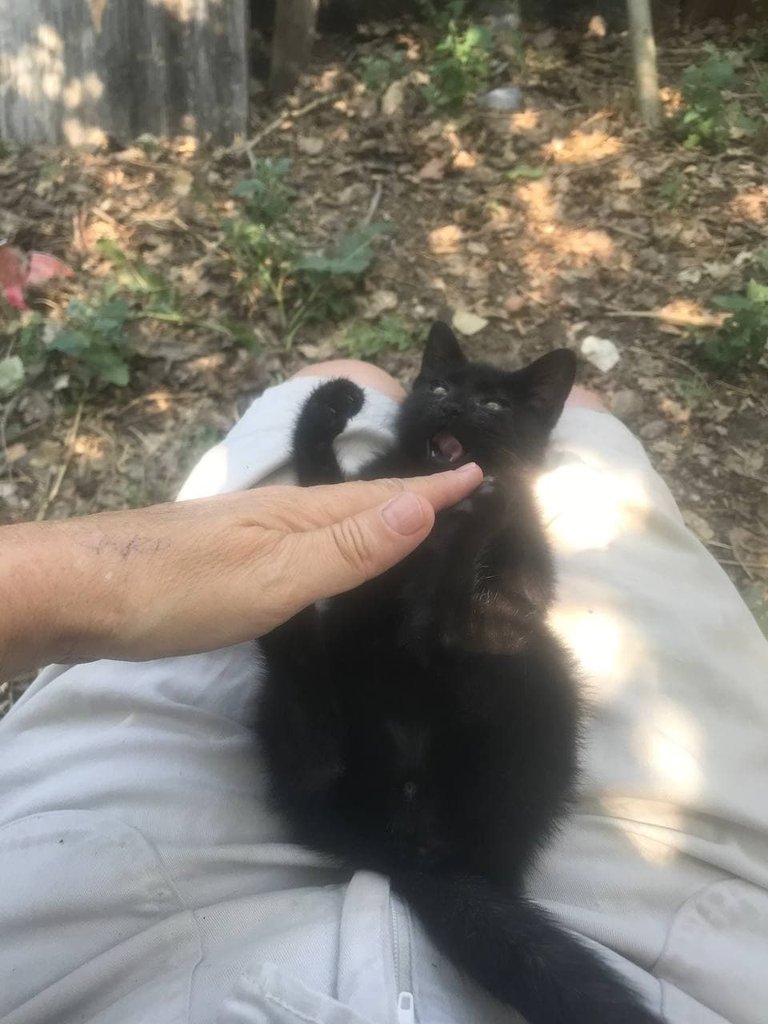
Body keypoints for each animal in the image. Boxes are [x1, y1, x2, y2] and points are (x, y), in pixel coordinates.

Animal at [257, 323, 663, 1024]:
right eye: (441, 385)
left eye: (493, 405)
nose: (450, 405)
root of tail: (412, 849)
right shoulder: (355, 513)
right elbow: (319, 486)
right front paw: (328, 410)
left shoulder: (528, 571)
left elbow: (518, 592)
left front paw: (475, 518)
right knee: (316, 753)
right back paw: (293, 622)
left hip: (540, 684)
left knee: (463, 642)